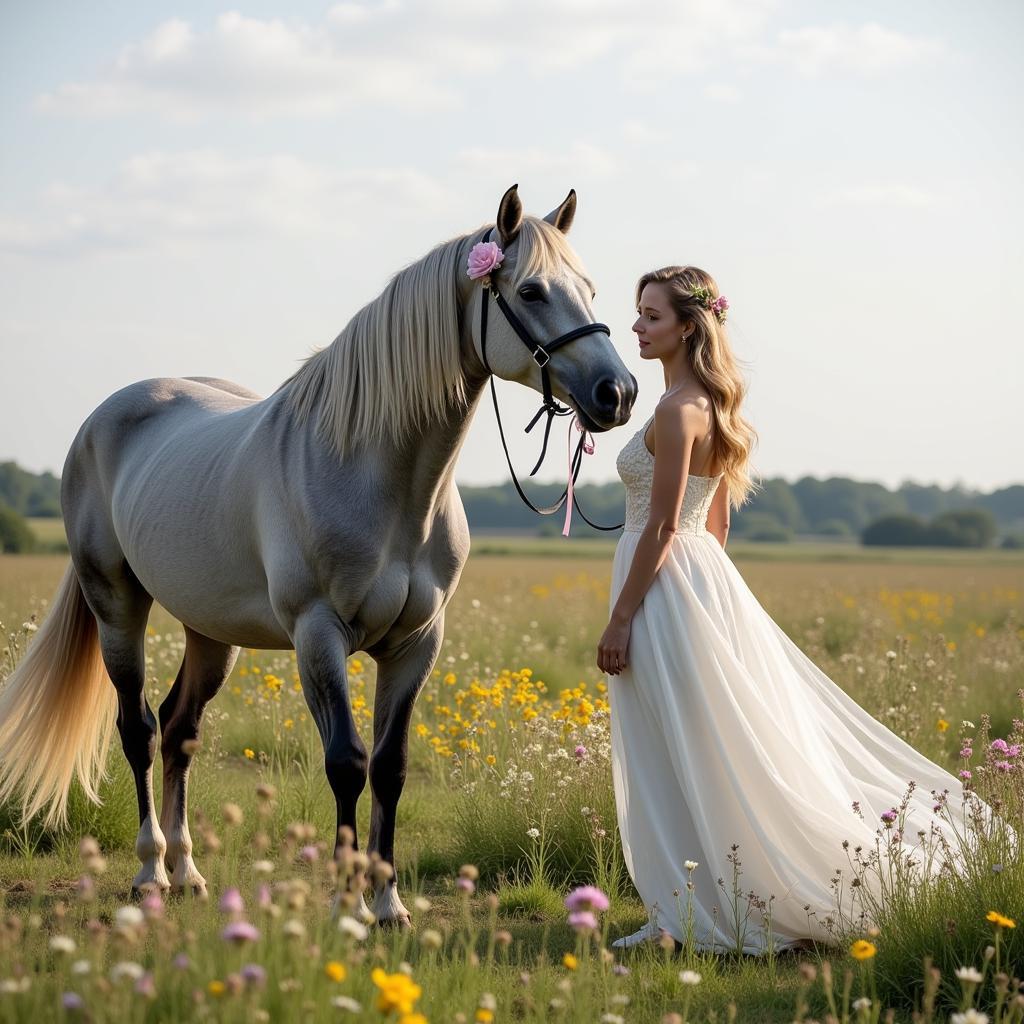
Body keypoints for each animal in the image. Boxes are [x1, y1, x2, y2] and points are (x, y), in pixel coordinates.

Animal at [0, 186, 634, 929]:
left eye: (589, 289)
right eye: (531, 290)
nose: (618, 393)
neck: (380, 478)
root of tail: (102, 419)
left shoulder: (417, 642)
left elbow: (390, 766)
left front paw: (388, 903)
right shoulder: (318, 634)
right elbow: (346, 763)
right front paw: (345, 902)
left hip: (210, 632)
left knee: (182, 731)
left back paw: (188, 872)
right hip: (117, 607)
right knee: (140, 730)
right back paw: (151, 871)